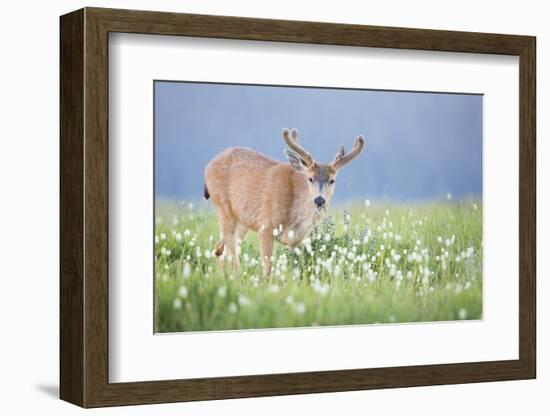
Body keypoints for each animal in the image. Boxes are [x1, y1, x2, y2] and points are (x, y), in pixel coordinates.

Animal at [204, 127, 366, 276]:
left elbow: (296, 268)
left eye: (332, 180)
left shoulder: (297, 240)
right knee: (232, 258)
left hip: (242, 221)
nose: (319, 200)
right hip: (224, 208)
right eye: (310, 178)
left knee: (219, 250)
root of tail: (208, 167)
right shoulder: (266, 227)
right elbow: (267, 270)